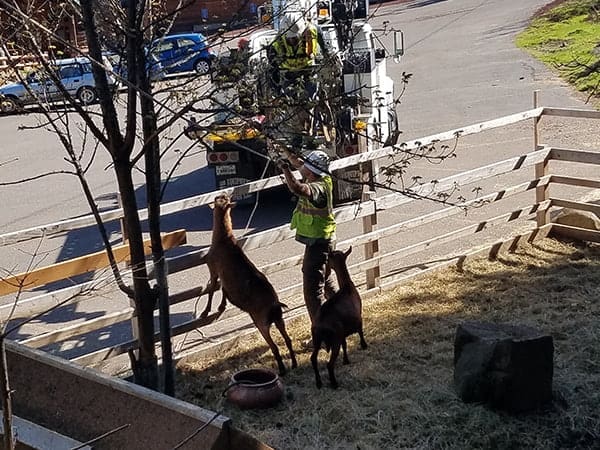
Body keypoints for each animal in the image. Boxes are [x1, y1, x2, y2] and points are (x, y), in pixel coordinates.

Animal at [200, 195, 296, 374]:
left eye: (220, 199)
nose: (217, 196)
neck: (224, 238)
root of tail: (275, 305)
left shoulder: (213, 268)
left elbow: (212, 289)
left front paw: (205, 312)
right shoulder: (224, 277)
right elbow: (223, 289)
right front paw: (221, 307)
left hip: (261, 321)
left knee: (274, 346)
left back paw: (282, 369)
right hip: (279, 319)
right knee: (288, 339)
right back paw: (293, 363)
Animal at [312, 244, 368, 388]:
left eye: (330, 259)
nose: (326, 269)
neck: (347, 287)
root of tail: (320, 325)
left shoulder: (342, 332)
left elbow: (345, 344)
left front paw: (346, 360)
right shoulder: (358, 316)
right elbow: (360, 331)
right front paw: (364, 345)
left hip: (317, 339)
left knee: (313, 359)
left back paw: (319, 383)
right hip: (334, 338)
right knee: (329, 364)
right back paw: (334, 383)